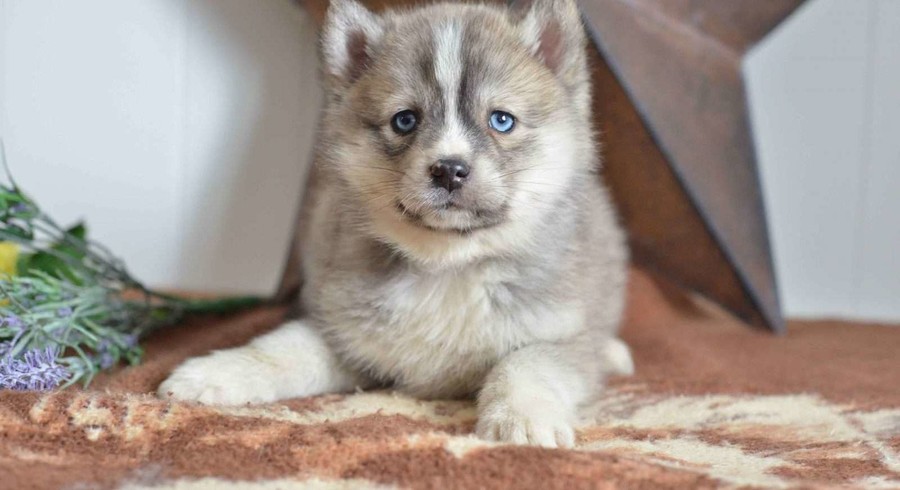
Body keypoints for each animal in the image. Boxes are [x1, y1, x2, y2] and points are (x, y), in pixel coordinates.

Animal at [156, 0, 632, 448]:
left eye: (501, 120)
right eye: (405, 120)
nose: (449, 169)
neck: (448, 267)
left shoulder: (560, 337)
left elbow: (525, 365)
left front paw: (522, 419)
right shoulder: (345, 334)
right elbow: (281, 349)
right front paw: (217, 372)